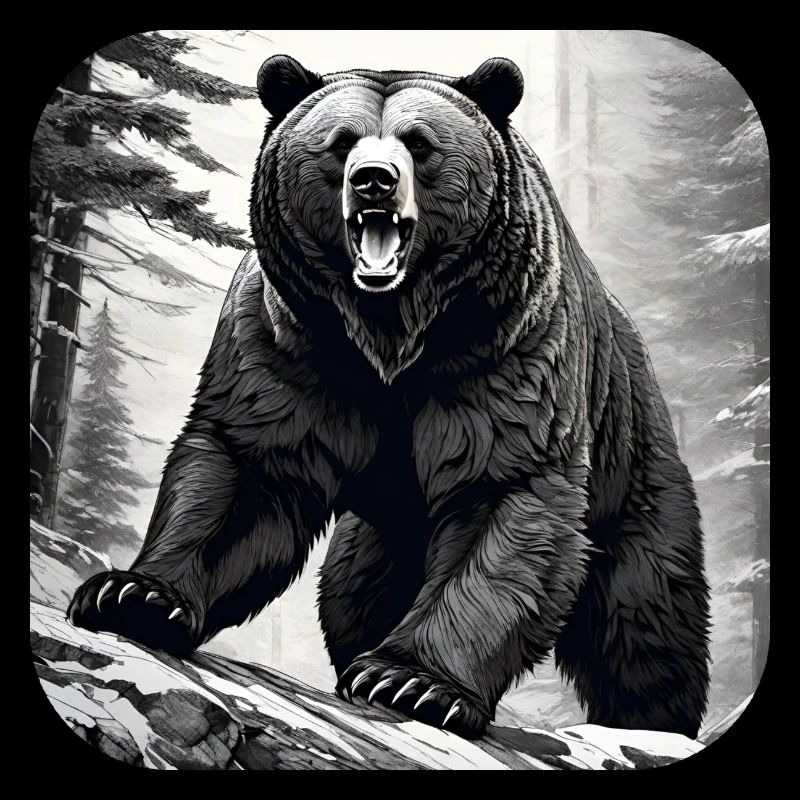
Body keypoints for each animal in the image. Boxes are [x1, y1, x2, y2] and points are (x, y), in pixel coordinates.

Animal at [68, 55, 711, 740]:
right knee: (353, 594)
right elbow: (248, 471)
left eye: (420, 143)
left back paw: (648, 719)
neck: (389, 331)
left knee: (642, 616)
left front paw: (412, 682)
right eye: (340, 142)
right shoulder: (289, 346)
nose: (373, 181)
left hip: (630, 463)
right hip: (377, 533)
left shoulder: (506, 346)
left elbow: (503, 496)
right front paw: (133, 595)